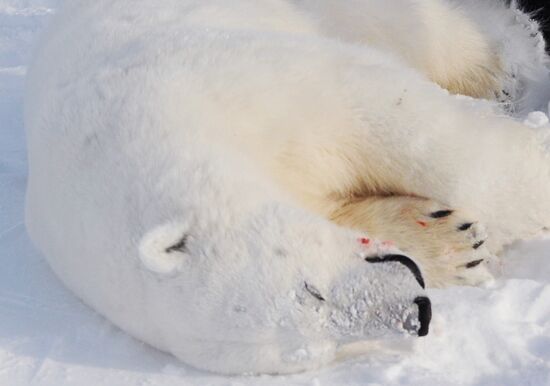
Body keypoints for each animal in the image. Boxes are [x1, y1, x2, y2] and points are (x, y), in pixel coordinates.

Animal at [24, 0, 550, 376]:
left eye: (309, 290)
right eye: (315, 348)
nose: (416, 313)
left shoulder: (224, 79)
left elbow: (387, 113)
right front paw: (453, 242)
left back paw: (505, 63)